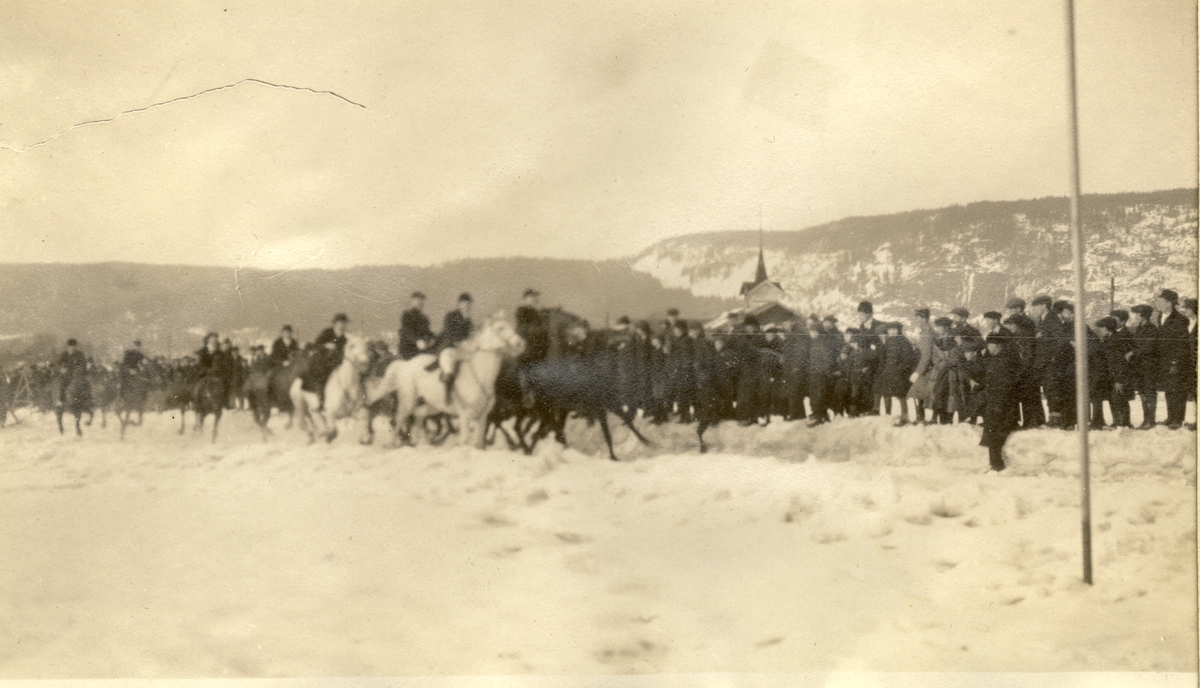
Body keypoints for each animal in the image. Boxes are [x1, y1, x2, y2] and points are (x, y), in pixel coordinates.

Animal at [364, 314, 525, 449]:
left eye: (511, 326)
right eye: (500, 328)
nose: (519, 343)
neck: (480, 376)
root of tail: (404, 365)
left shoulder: (483, 417)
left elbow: (479, 443)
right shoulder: (465, 415)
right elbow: (464, 441)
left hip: (429, 406)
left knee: (417, 422)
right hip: (407, 402)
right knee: (398, 421)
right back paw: (392, 445)